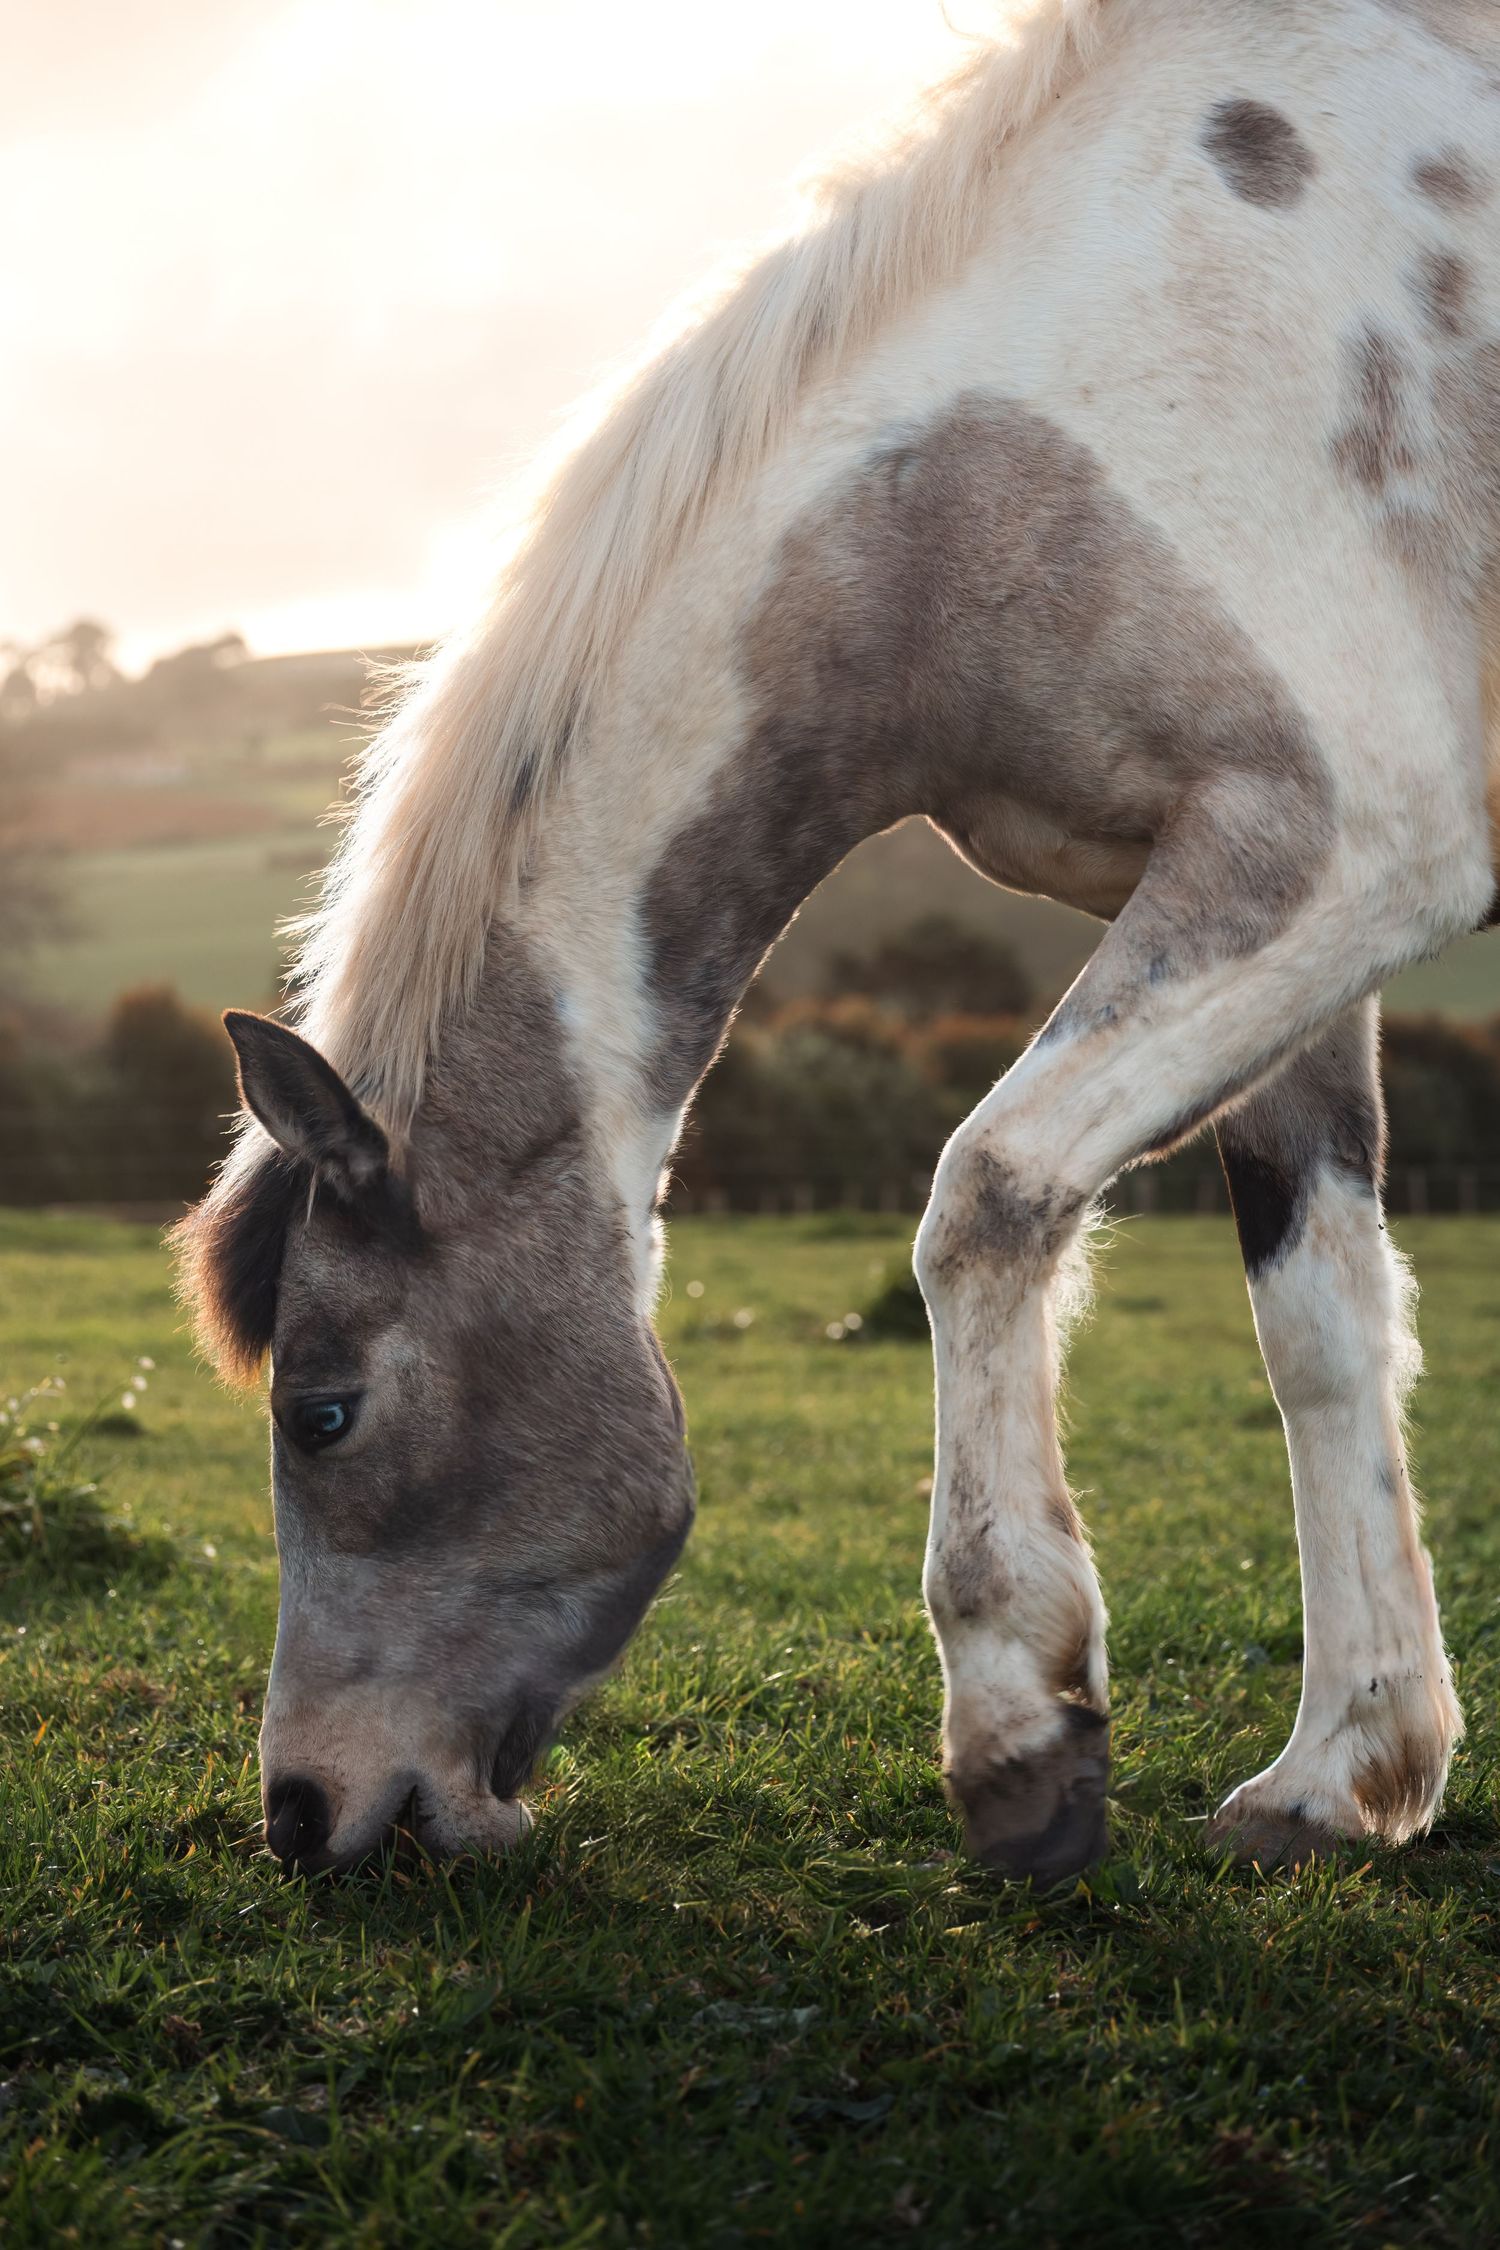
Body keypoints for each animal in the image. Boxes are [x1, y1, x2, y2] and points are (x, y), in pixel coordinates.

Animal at [173, 0, 1500, 1884]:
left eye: (323, 1409)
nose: (300, 1811)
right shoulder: (1283, 915)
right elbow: (1320, 1320)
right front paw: (1349, 1767)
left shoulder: (1344, 852)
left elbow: (987, 1192)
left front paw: (1019, 1731)